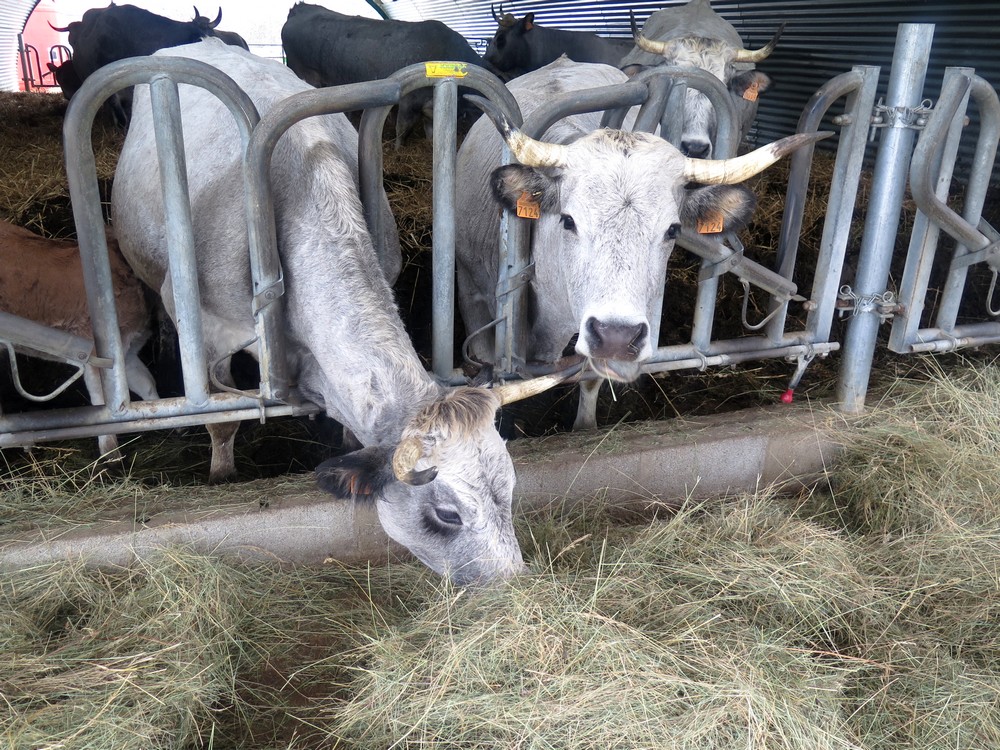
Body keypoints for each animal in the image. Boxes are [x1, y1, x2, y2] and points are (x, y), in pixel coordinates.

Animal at [115, 38, 564, 584]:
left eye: (510, 488)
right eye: (447, 514)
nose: (512, 584)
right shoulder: (209, 334)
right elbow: (221, 420)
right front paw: (222, 477)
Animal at [280, 1, 490, 148]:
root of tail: (301, 8)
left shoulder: (430, 108)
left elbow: (431, 131)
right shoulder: (408, 102)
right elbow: (402, 129)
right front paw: (397, 150)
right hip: (304, 73)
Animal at [456, 58, 828, 432]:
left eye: (673, 229)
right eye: (568, 220)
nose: (616, 335)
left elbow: (592, 377)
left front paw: (585, 427)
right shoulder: (473, 295)